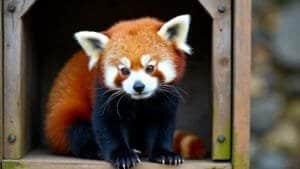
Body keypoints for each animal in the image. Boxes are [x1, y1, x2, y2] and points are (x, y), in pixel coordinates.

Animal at [45, 15, 205, 168]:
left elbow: (161, 123)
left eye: (150, 68)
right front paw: (122, 155)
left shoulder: (166, 97)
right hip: (63, 115)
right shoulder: (103, 93)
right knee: (77, 130)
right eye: (124, 70)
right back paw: (98, 151)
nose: (138, 86)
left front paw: (164, 153)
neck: (139, 102)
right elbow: (108, 124)